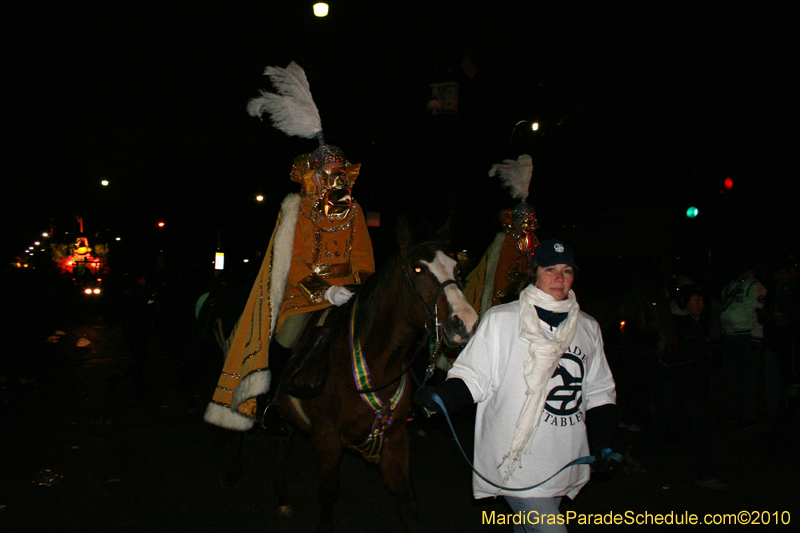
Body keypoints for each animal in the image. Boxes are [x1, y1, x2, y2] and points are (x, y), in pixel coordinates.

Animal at [222, 218, 478, 528]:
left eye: (456, 269)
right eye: (418, 269)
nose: (465, 322)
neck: (375, 362)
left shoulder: (395, 436)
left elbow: (406, 499)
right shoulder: (327, 438)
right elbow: (328, 492)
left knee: (281, 444)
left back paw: (282, 498)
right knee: (237, 423)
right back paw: (231, 472)